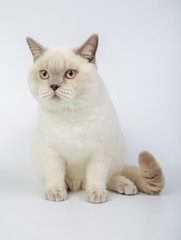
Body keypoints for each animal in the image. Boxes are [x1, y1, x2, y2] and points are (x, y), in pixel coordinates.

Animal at [26, 34, 164, 202]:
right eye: (44, 74)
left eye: (70, 74)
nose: (53, 86)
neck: (69, 115)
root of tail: (78, 185)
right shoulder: (51, 152)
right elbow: (55, 175)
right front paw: (56, 192)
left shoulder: (99, 152)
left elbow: (96, 176)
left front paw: (95, 194)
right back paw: (69, 187)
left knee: (110, 177)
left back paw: (125, 186)